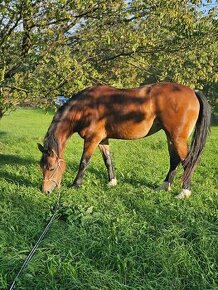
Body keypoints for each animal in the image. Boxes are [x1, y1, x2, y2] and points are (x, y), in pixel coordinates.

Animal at [38, 82, 211, 198]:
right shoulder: (102, 139)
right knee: (174, 160)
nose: (45, 191)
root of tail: (193, 91)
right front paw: (112, 182)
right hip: (171, 137)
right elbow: (108, 160)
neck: (85, 107)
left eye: (51, 168)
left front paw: (75, 184)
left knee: (187, 162)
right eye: (41, 167)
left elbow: (84, 162)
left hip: (177, 138)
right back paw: (164, 186)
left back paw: (184, 192)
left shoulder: (92, 139)